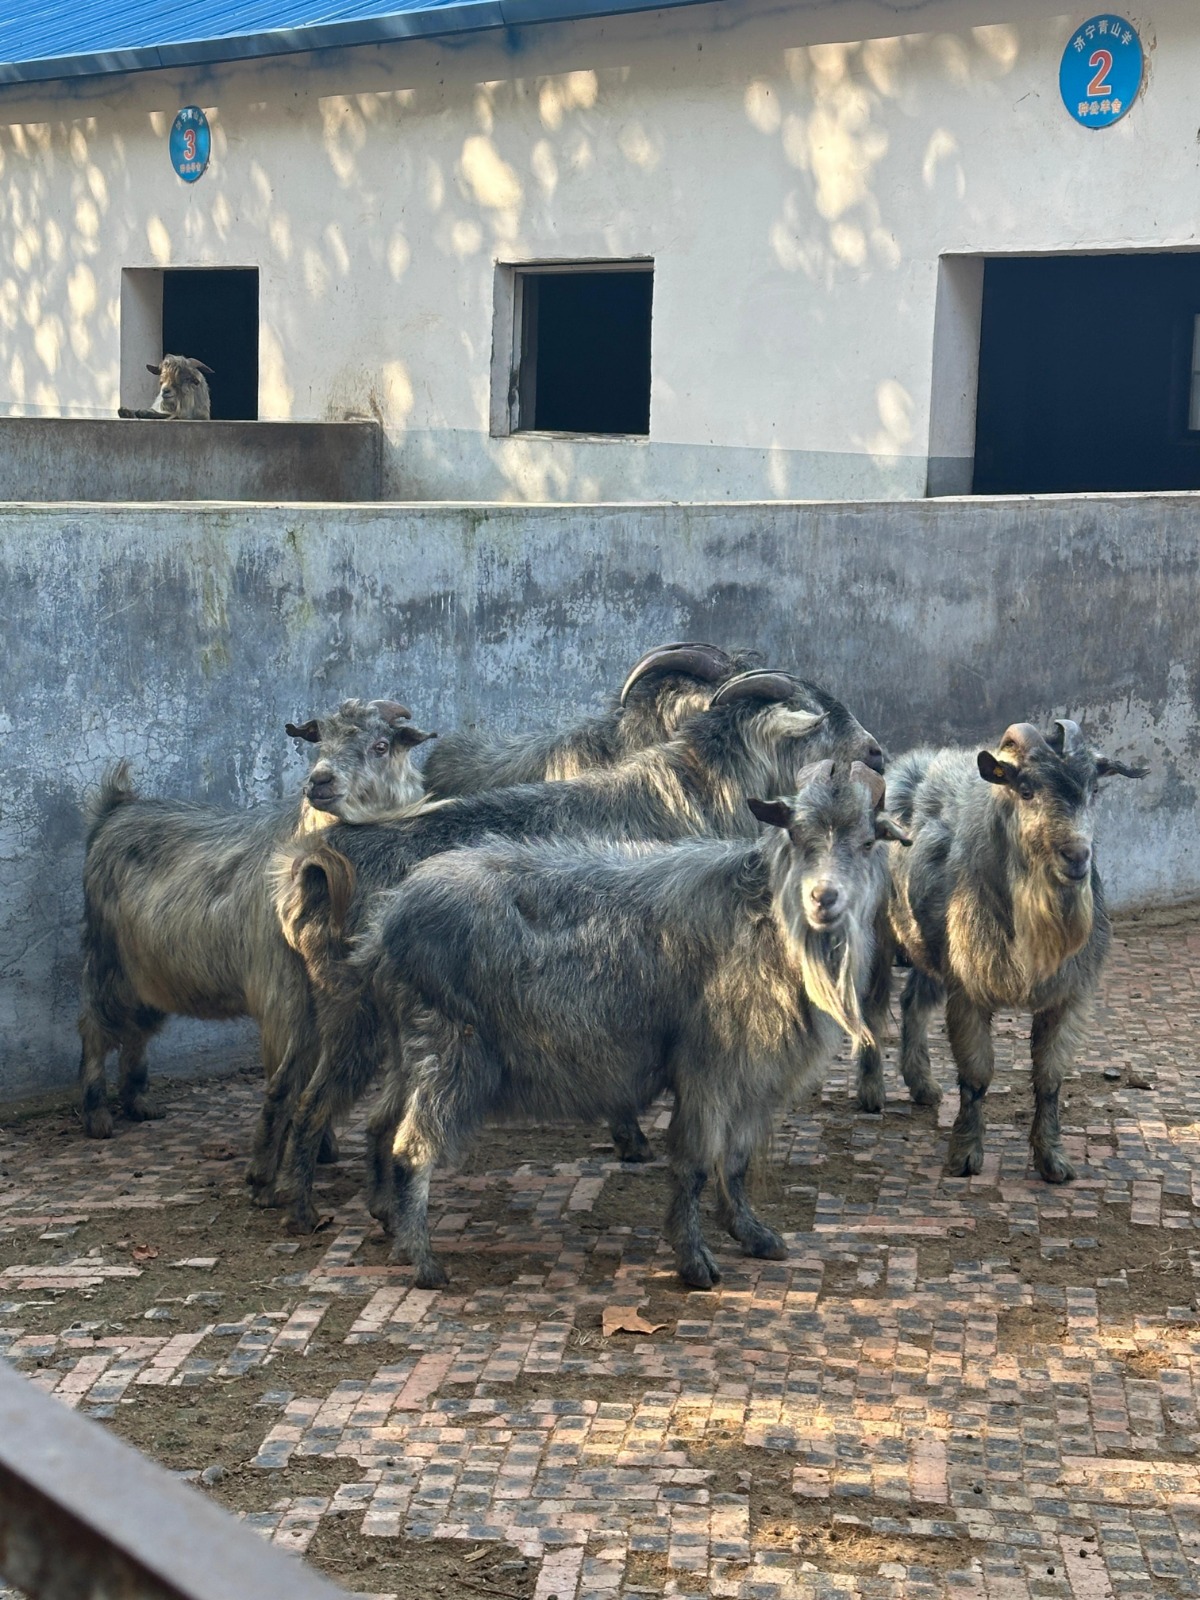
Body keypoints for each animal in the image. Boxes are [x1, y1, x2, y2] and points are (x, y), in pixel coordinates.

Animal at [77, 700, 432, 1139]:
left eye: (381, 745)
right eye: (320, 742)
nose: (320, 780)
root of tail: (115, 811)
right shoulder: (282, 991)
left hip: (151, 969)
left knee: (137, 1027)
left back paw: (139, 1101)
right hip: (106, 955)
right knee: (95, 1026)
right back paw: (96, 1114)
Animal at [253, 670, 887, 1226]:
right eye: (820, 717)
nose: (877, 753)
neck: (692, 795)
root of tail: (312, 866)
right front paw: (633, 1138)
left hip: (314, 1005)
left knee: (287, 1086)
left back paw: (273, 1184)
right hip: (357, 1015)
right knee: (315, 1101)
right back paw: (303, 1209)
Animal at [359, 762, 908, 1290]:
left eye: (867, 841)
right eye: (795, 834)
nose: (823, 898)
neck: (765, 917)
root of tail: (390, 920)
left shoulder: (753, 1081)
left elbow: (735, 1162)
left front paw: (752, 1234)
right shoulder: (707, 1070)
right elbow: (694, 1165)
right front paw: (694, 1261)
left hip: (411, 1051)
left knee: (380, 1124)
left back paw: (389, 1220)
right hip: (450, 1052)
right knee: (412, 1149)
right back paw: (424, 1262)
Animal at [873, 719, 1146, 1181]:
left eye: (1093, 789)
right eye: (1026, 790)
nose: (1076, 855)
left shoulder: (1067, 995)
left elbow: (1050, 1078)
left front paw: (1053, 1160)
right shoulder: (969, 990)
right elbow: (977, 1074)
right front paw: (965, 1155)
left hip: (929, 950)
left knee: (913, 1002)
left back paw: (922, 1086)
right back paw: (869, 1092)